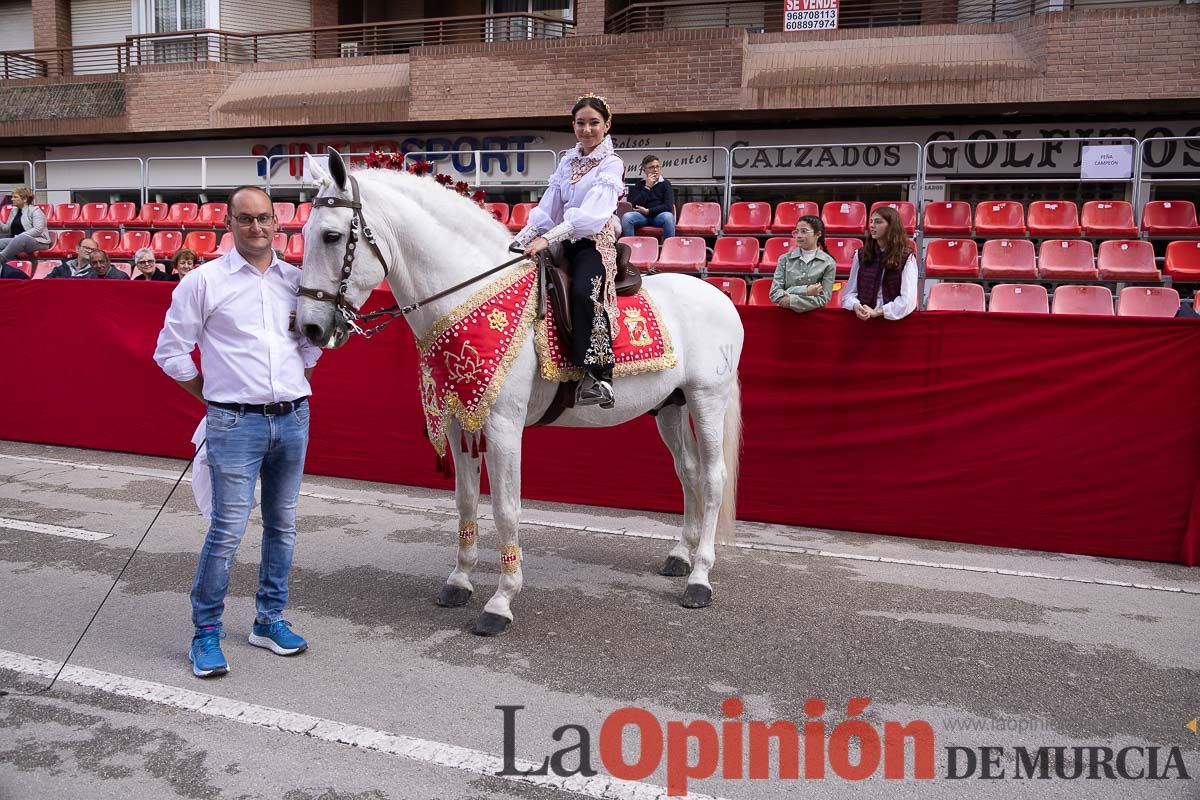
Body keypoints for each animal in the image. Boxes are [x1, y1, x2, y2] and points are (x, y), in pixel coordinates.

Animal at [295, 149, 739, 638]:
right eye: (303, 234)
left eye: (332, 236)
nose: (309, 327)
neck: (470, 294)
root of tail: (720, 296)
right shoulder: (459, 420)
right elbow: (465, 500)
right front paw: (459, 580)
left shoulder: (504, 426)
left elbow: (506, 509)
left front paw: (501, 601)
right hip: (669, 407)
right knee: (688, 471)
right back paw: (680, 556)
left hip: (707, 398)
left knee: (713, 477)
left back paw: (700, 578)